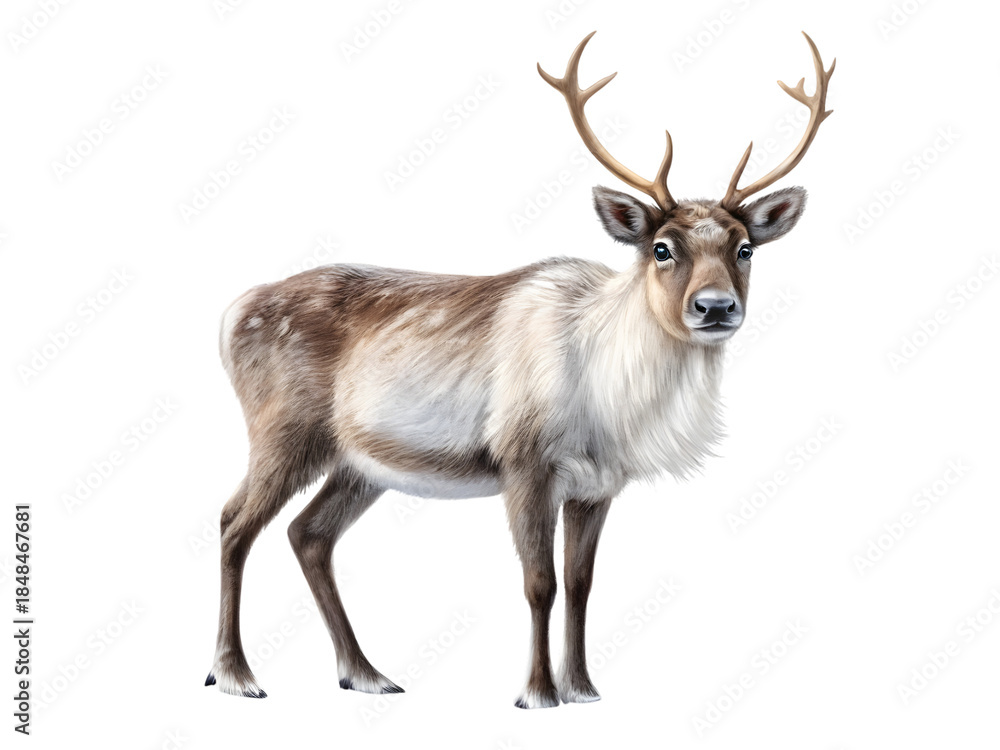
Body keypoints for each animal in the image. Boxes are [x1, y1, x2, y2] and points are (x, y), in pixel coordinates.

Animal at [205, 31, 834, 708]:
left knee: (308, 534)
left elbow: (581, 584)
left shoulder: (597, 484)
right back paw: (235, 674)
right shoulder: (524, 459)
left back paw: (366, 673)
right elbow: (540, 583)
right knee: (233, 522)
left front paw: (583, 686)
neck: (609, 400)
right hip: (284, 430)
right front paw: (537, 692)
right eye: (662, 248)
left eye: (745, 249)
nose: (715, 307)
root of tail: (230, 315)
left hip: (359, 464)